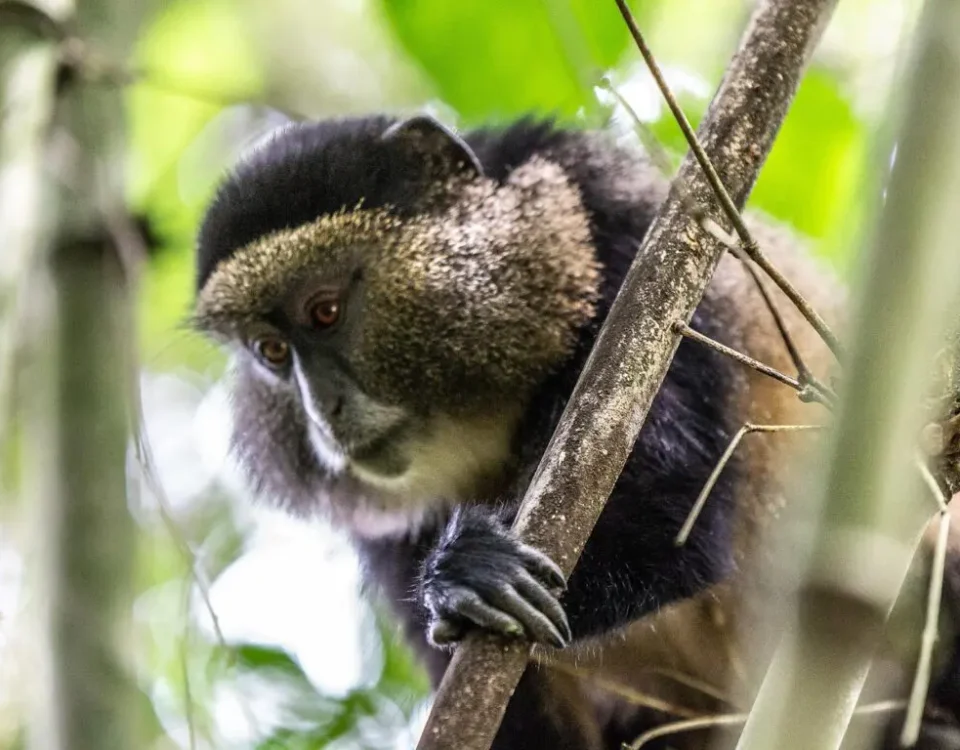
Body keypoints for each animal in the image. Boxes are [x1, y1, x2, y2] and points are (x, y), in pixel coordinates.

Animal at [192, 114, 960, 749]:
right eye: (271, 352)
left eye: (324, 312)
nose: (323, 409)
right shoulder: (388, 527)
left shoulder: (636, 259)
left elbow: (670, 525)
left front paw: (468, 574)